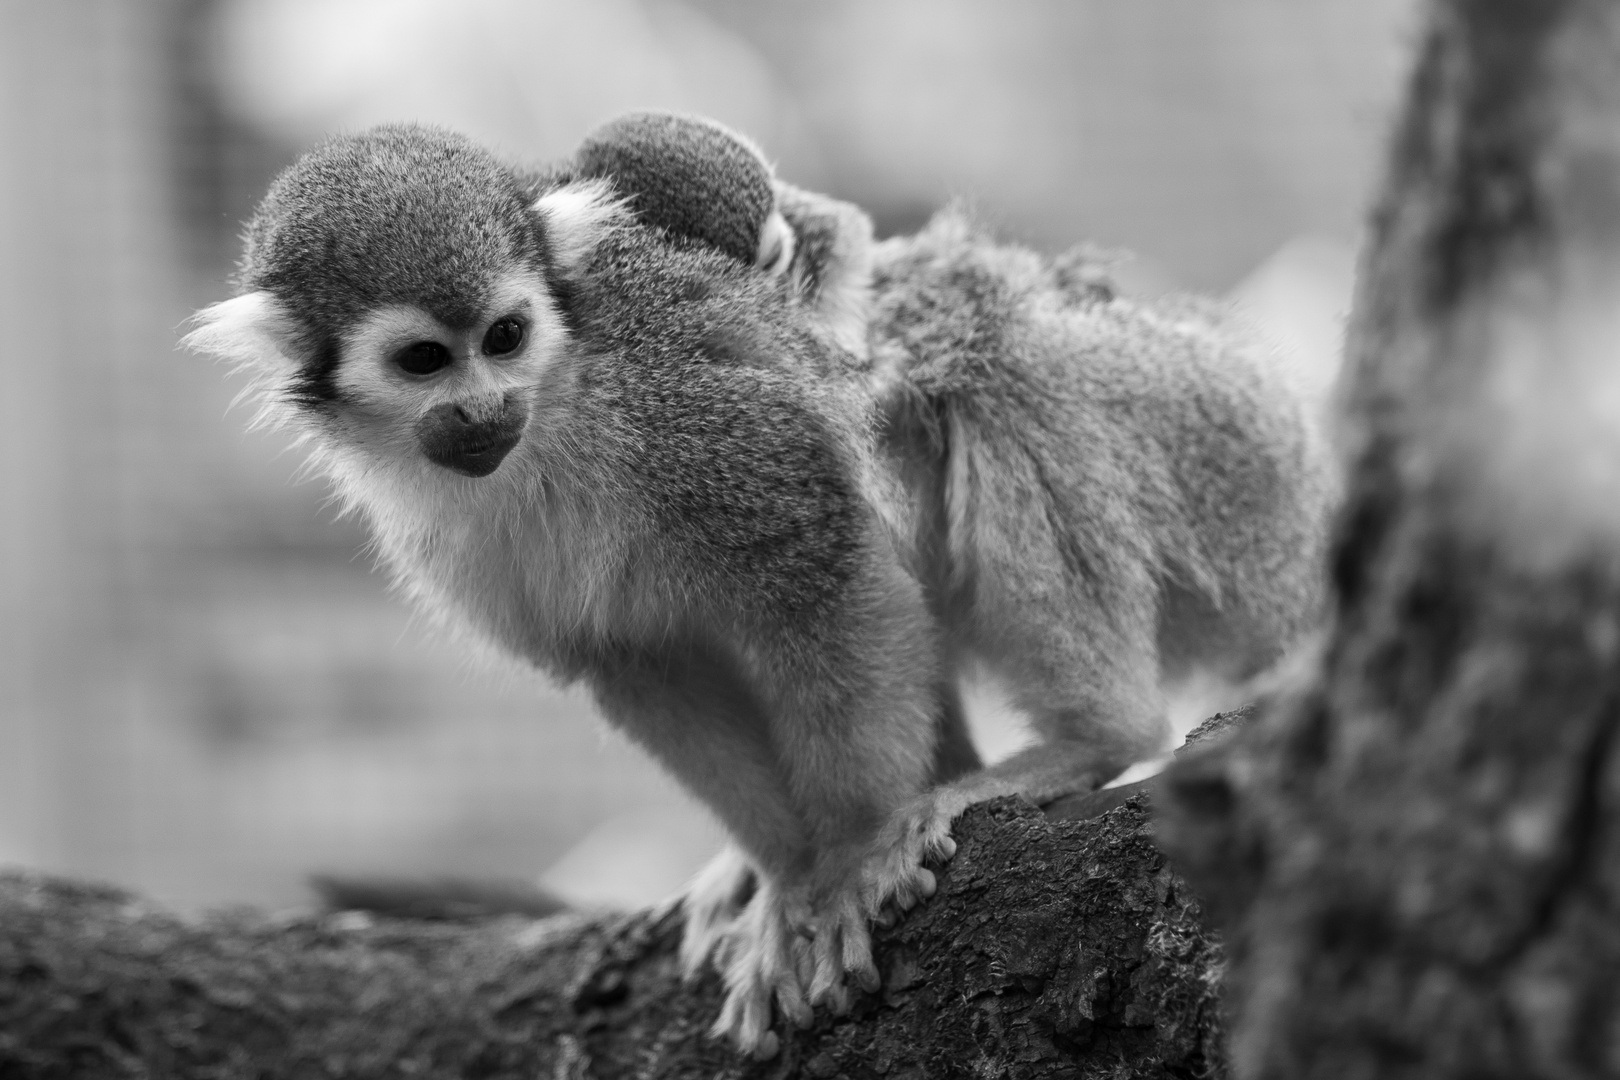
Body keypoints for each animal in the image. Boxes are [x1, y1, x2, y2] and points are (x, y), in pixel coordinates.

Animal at [186, 116, 1328, 1055]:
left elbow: (824, 563)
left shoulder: (701, 418)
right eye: (426, 361)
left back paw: (1089, 738)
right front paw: (783, 874)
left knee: (1000, 366)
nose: (482, 410)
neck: (556, 413)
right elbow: (640, 664)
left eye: (504, 338)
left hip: (1220, 444)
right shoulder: (454, 539)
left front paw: (846, 860)